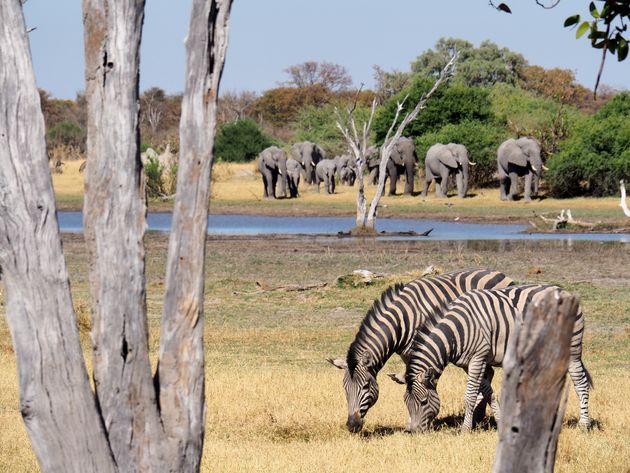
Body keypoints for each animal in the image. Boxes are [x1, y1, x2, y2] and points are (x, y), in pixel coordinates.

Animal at [328, 268, 516, 430]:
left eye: (366, 386)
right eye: (345, 388)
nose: (352, 425)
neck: (401, 321)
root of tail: (497, 272)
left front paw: (424, 420)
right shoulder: (407, 354)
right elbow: (409, 379)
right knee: (488, 373)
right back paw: (478, 414)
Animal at [402, 282, 596, 434]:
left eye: (423, 402)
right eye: (405, 403)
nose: (412, 432)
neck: (457, 332)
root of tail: (563, 290)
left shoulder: (478, 358)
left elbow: (470, 395)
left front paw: (465, 430)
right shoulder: (470, 363)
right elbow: (489, 393)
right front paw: (501, 421)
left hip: (572, 349)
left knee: (580, 383)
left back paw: (584, 425)